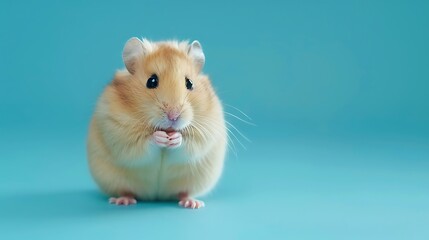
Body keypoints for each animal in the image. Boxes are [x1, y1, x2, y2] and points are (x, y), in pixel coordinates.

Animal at [87, 37, 227, 208]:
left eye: (190, 83)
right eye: (151, 81)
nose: (173, 116)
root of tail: (156, 196)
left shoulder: (207, 131)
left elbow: (189, 143)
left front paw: (174, 138)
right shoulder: (118, 131)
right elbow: (142, 143)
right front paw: (160, 137)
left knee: (184, 192)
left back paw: (192, 203)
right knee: (126, 190)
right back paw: (123, 201)